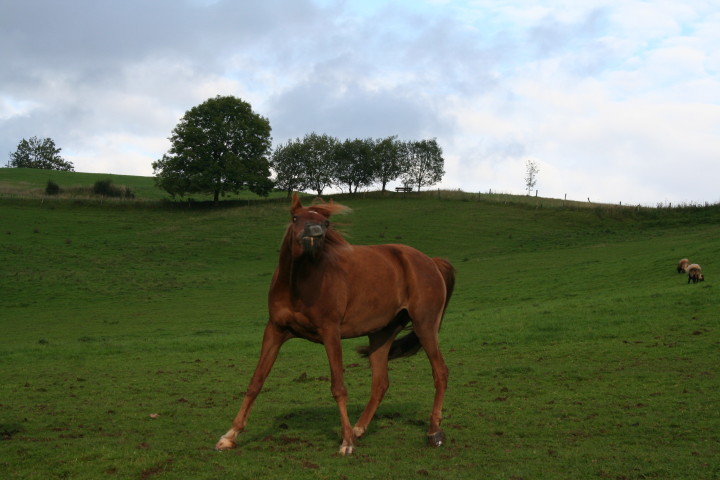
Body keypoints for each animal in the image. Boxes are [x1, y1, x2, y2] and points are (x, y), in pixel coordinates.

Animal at [214, 192, 458, 454]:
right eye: (295, 217)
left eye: (326, 223)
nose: (315, 233)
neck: (299, 285)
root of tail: (431, 262)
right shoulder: (275, 331)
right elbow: (256, 382)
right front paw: (230, 435)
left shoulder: (330, 333)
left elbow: (338, 388)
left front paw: (346, 442)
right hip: (381, 334)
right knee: (380, 383)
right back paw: (359, 429)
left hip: (425, 326)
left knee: (440, 372)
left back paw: (434, 431)